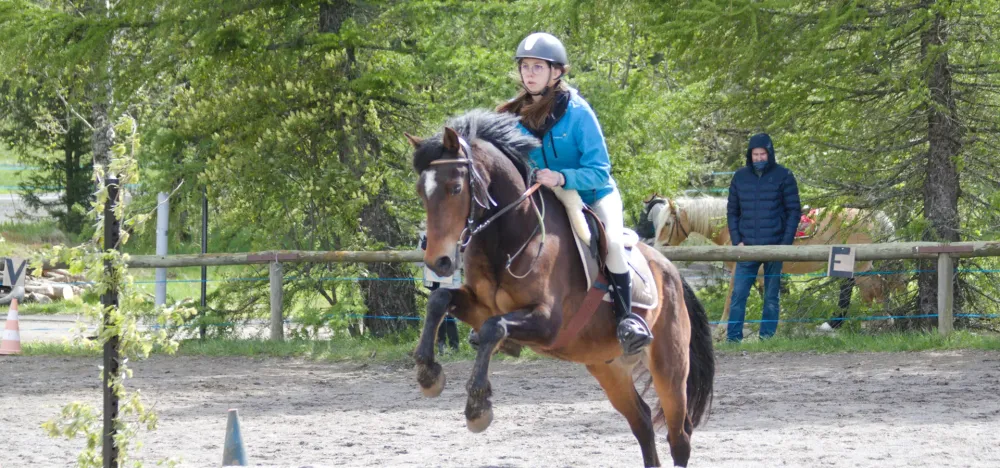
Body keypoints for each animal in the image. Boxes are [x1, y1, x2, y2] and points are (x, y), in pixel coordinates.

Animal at [407, 110, 715, 467]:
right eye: (421, 191)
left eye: (455, 187)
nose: (439, 261)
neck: (509, 236)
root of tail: (671, 271)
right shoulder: (481, 306)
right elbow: (441, 300)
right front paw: (428, 374)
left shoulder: (548, 323)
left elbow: (494, 328)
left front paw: (477, 407)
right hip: (607, 366)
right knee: (641, 421)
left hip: (670, 366)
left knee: (679, 436)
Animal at [637, 194, 904, 337]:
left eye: (667, 223)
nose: (654, 246)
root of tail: (875, 216)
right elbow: (768, 294)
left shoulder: (741, 268)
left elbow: (733, 297)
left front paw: (723, 329)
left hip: (861, 264)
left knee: (871, 289)